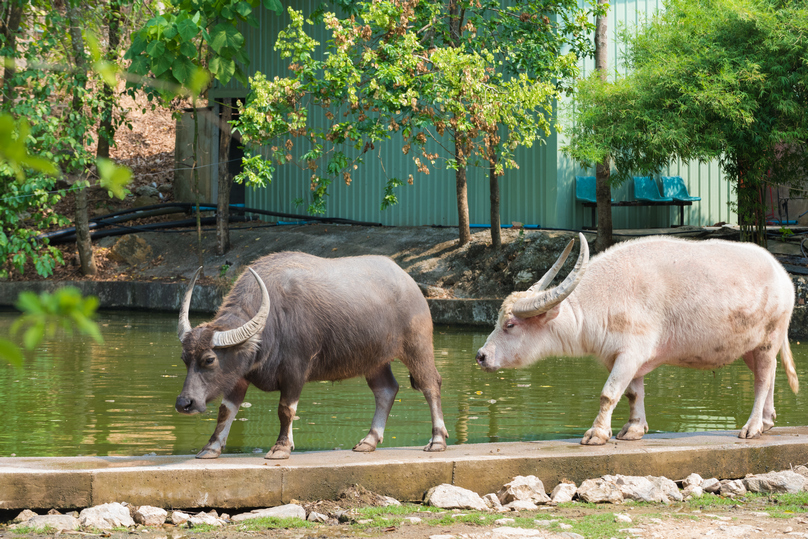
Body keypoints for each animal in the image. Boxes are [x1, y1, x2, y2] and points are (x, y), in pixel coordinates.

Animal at [174, 254, 448, 460]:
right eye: (185, 358)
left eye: (209, 359)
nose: (184, 403)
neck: (273, 319)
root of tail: (408, 281)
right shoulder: (239, 375)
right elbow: (226, 410)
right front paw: (211, 447)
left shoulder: (296, 370)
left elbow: (286, 409)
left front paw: (281, 447)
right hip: (374, 361)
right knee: (386, 390)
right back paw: (369, 440)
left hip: (417, 346)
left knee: (430, 384)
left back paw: (437, 440)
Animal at [476, 234, 800, 446]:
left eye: (510, 324)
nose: (481, 355)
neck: (603, 299)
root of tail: (782, 274)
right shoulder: (622, 358)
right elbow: (633, 393)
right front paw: (633, 429)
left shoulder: (630, 353)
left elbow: (609, 393)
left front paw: (596, 434)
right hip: (749, 348)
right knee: (769, 375)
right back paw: (767, 421)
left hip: (769, 338)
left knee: (762, 380)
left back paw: (752, 426)